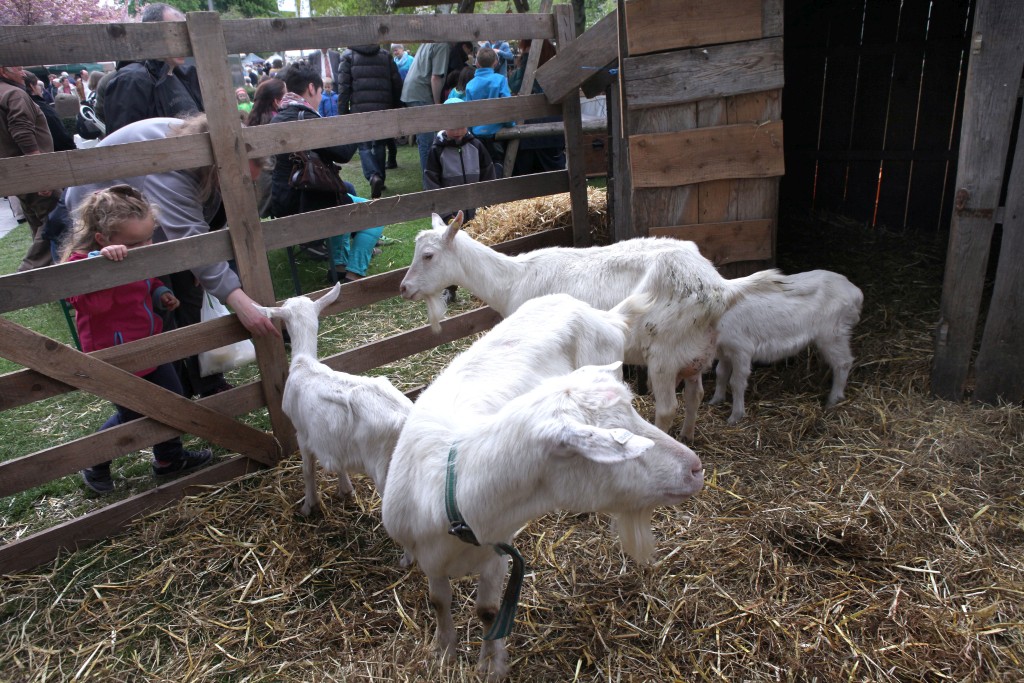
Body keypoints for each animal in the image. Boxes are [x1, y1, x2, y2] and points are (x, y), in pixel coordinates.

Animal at [255, 283, 413, 516]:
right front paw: (346, 490)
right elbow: (339, 462)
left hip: (386, 470)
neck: (304, 362)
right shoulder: (333, 439)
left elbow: (307, 469)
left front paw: (308, 506)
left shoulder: (302, 433)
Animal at [381, 294, 702, 680]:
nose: (696, 468)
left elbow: (488, 612)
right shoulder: (428, 559)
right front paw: (443, 651)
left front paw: (491, 664)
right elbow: (439, 602)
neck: (451, 493)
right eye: (619, 444)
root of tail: (602, 315)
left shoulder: (497, 553)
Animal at [399, 212, 784, 441]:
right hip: (695, 352)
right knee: (695, 396)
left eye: (429, 255)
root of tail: (718, 286)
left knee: (667, 408)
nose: (403, 288)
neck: (513, 279)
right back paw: (688, 436)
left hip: (664, 354)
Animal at [709, 269, 863, 424]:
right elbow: (720, 373)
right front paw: (715, 400)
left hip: (833, 333)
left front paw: (734, 417)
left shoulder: (741, 349)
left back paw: (833, 401)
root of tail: (856, 293)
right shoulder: (725, 352)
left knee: (843, 363)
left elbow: (736, 382)